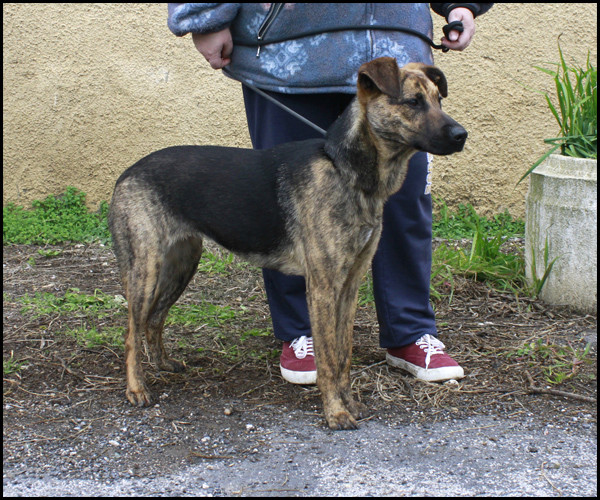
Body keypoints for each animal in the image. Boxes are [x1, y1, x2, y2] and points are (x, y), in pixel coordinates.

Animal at [109, 55, 468, 430]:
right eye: (413, 102)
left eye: (438, 100)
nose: (462, 136)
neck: (345, 170)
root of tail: (127, 173)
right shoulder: (323, 286)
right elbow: (327, 358)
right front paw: (335, 412)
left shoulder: (350, 284)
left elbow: (343, 354)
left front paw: (349, 402)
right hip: (146, 270)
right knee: (131, 332)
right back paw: (136, 388)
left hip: (181, 264)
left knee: (153, 320)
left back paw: (163, 364)